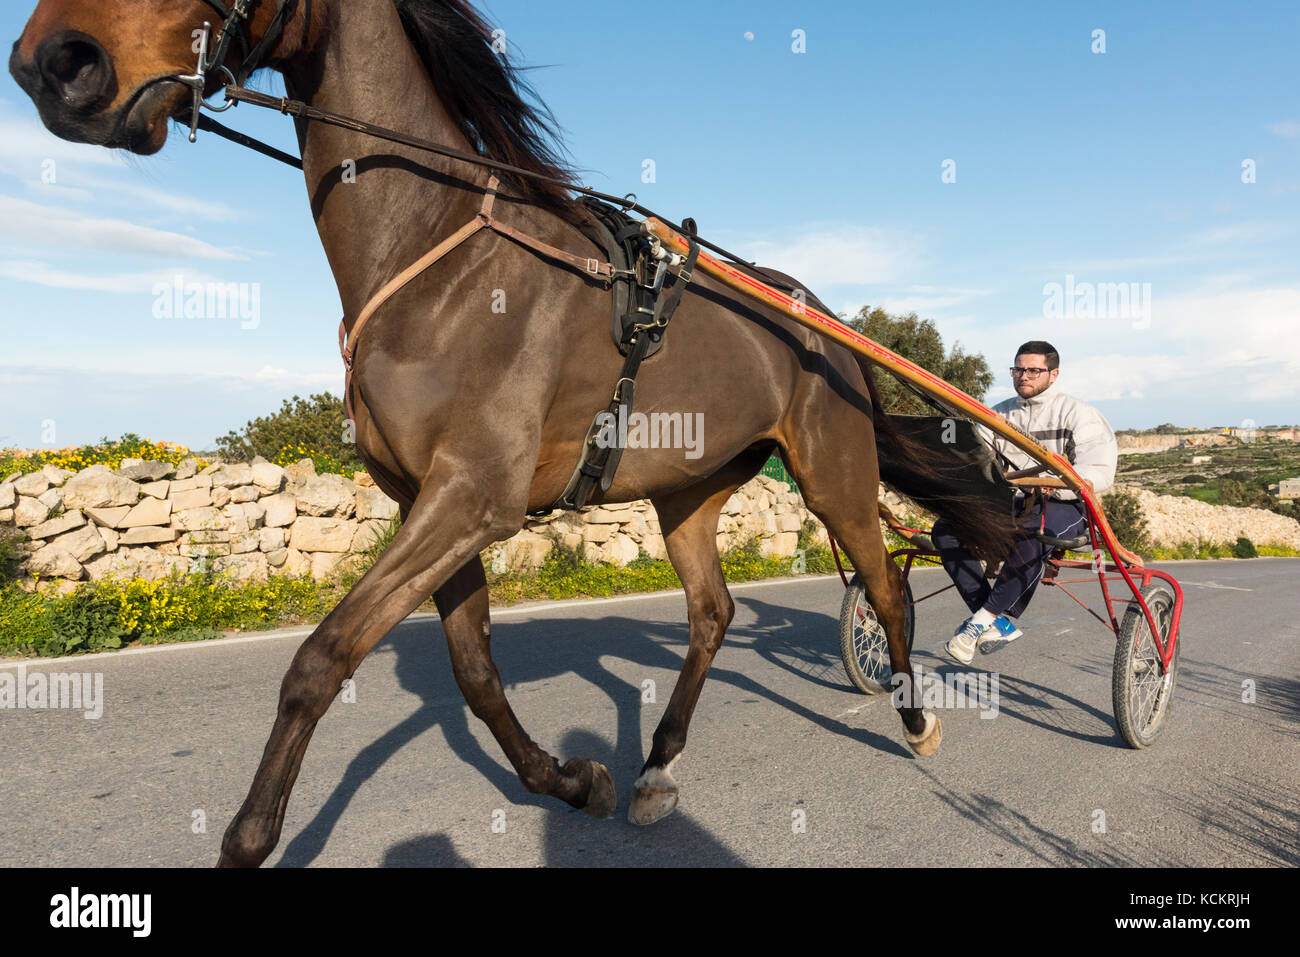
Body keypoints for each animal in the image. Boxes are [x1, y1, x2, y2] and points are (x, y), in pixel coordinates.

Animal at [10, 0, 1013, 868]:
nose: (53, 60)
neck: (440, 250)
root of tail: (825, 319)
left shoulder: (472, 498)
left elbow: (321, 658)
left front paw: (249, 837)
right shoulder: (430, 501)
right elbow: (474, 671)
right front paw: (569, 777)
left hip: (833, 470)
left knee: (885, 591)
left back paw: (914, 717)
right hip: (689, 487)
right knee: (714, 613)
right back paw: (657, 765)